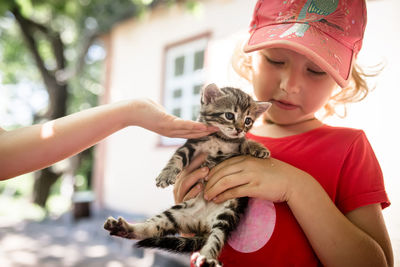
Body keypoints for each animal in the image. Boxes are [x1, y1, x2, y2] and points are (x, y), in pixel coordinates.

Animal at [104, 84, 272, 267]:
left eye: (248, 120)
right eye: (229, 115)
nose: (239, 129)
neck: (220, 138)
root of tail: (202, 223)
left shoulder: (234, 150)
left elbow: (244, 142)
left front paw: (258, 147)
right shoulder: (192, 144)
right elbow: (177, 158)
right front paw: (166, 174)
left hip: (228, 213)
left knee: (216, 238)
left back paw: (207, 258)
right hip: (175, 214)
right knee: (152, 227)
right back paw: (125, 228)